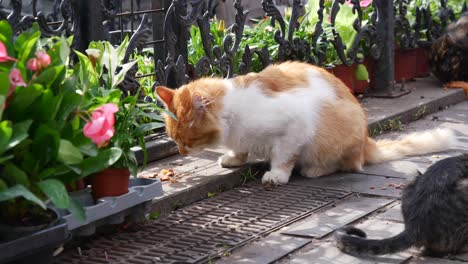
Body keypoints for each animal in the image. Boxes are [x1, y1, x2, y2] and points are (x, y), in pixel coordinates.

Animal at [155, 61, 456, 185]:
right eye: (173, 139)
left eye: (188, 140)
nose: (180, 151)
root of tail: (366, 142)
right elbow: (240, 149)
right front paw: (233, 158)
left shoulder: (294, 127)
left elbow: (283, 157)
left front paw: (276, 175)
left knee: (347, 164)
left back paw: (314, 170)